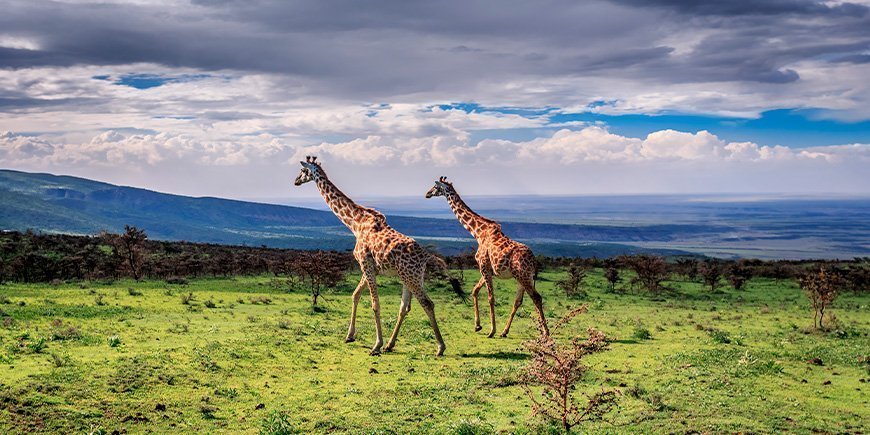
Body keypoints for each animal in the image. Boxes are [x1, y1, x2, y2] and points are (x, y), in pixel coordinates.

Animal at [294, 158, 446, 356]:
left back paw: (440, 347)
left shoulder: (365, 264)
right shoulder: (371, 267)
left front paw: (376, 345)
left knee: (427, 303)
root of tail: (426, 256)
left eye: (303, 170)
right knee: (405, 307)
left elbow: (375, 304)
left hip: (411, 277)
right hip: (411, 277)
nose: (295, 181)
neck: (355, 223)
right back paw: (391, 344)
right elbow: (355, 295)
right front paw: (350, 336)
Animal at [424, 177, 548, 338]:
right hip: (522, 278)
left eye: (435, 187)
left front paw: (491, 330)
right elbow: (475, 290)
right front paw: (478, 326)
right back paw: (504, 332)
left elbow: (490, 297)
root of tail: (534, 261)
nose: (427, 194)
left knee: (536, 298)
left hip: (524, 276)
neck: (478, 232)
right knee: (518, 301)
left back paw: (545, 332)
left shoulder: (483, 265)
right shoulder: (488, 269)